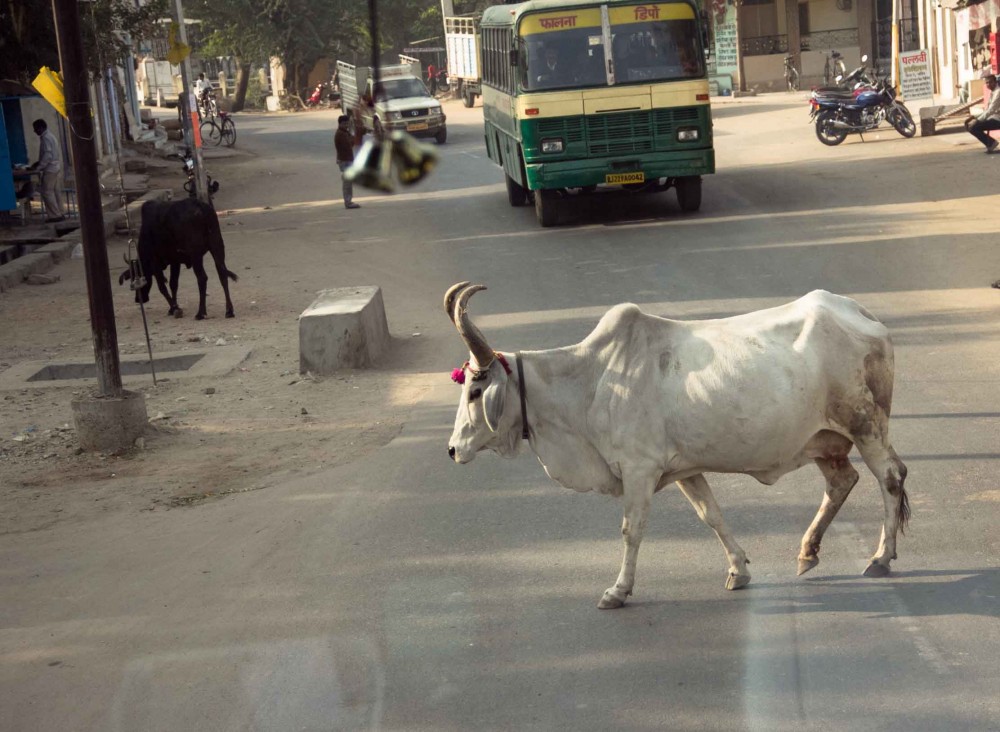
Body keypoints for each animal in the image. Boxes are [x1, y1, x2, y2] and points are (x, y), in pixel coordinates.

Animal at [444, 284, 908, 608]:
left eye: (474, 391)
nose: (452, 450)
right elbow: (712, 516)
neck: (592, 379)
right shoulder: (686, 469)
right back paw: (808, 552)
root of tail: (858, 312)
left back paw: (880, 558)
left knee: (889, 478)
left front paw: (618, 590)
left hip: (865, 425)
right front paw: (738, 570)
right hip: (824, 441)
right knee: (843, 481)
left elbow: (631, 530)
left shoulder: (639, 469)